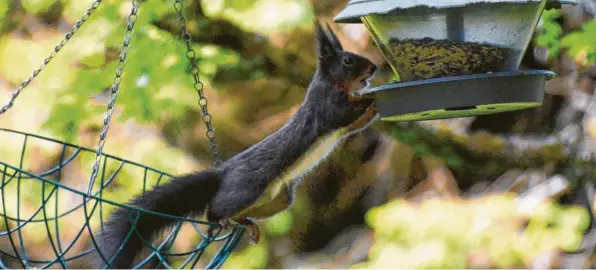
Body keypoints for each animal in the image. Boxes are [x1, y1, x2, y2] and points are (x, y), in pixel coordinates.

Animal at [95, 21, 380, 268]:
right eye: (348, 60)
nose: (375, 68)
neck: (333, 83)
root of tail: (224, 171)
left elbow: (357, 124)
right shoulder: (326, 106)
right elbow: (343, 115)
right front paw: (373, 98)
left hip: (278, 199)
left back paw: (247, 224)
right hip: (248, 187)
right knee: (216, 208)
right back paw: (219, 220)